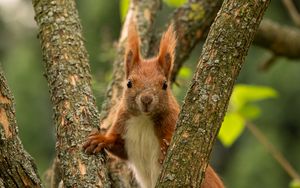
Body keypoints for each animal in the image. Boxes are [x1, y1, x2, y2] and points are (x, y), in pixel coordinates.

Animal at [83, 21, 224, 188]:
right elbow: (116, 145)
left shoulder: (172, 123)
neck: (143, 120)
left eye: (165, 85)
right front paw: (100, 140)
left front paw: (166, 148)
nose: (146, 99)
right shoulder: (124, 130)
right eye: (129, 83)